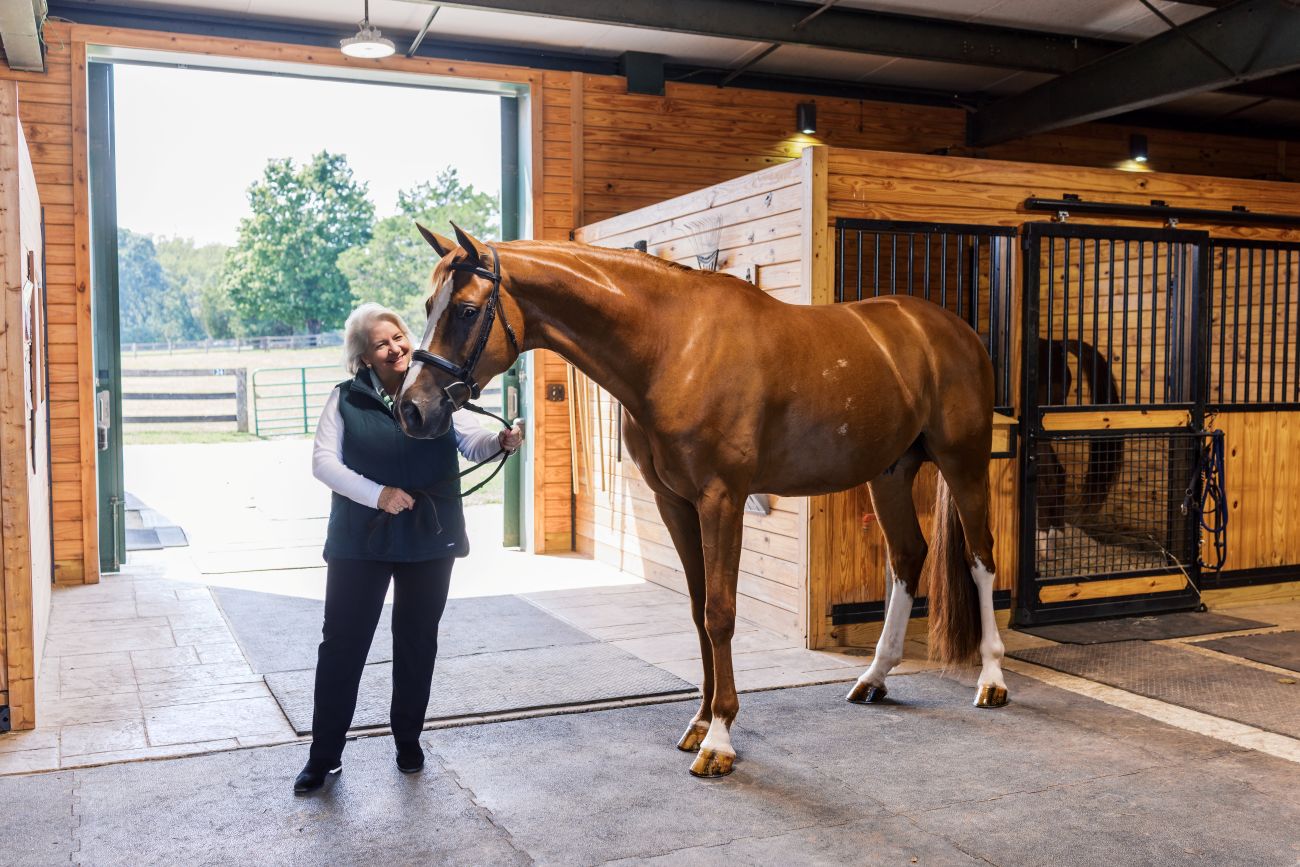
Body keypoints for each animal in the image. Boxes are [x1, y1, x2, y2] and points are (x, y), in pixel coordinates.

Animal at [397, 223, 1008, 778]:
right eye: (429, 305)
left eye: (467, 311)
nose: (411, 409)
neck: (674, 347)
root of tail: (952, 329)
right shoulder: (675, 503)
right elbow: (697, 611)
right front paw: (698, 721)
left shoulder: (722, 501)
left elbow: (721, 613)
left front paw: (720, 738)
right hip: (890, 473)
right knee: (907, 557)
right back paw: (875, 677)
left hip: (964, 462)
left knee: (980, 557)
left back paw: (991, 680)